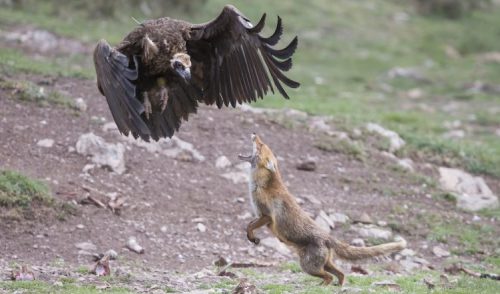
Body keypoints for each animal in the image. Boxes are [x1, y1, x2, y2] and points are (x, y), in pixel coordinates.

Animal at [238, 134, 406, 286]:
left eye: (260, 146)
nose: (254, 133)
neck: (262, 186)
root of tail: (327, 237)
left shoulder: (266, 216)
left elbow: (250, 226)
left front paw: (252, 237)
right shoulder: (260, 216)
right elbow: (249, 225)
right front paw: (251, 238)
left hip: (308, 266)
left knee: (329, 277)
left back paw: (323, 287)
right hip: (323, 264)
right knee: (341, 274)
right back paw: (336, 286)